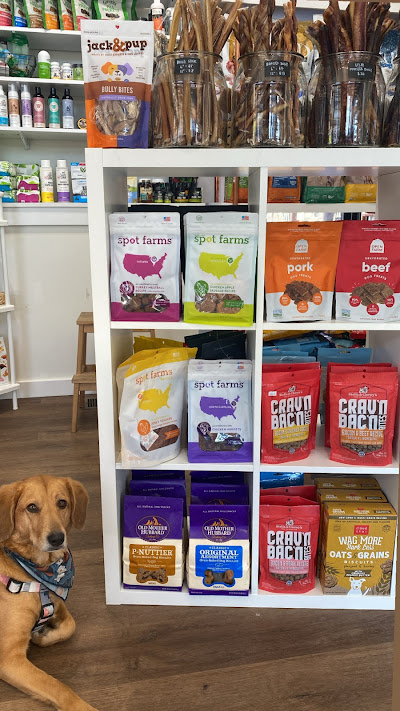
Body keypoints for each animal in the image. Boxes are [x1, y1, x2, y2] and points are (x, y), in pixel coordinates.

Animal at [0, 475, 98, 710]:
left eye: (62, 503)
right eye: (32, 507)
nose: (56, 538)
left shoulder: (58, 602)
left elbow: (70, 625)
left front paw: (42, 636)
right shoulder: (9, 658)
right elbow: (58, 687)